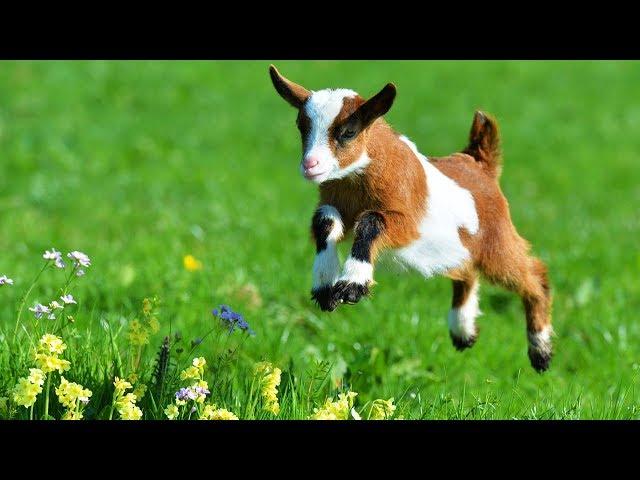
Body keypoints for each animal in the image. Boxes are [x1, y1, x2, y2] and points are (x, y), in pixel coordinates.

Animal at [268, 64, 552, 372]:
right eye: (301, 127)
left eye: (348, 132)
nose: (310, 165)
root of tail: (480, 162)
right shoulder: (334, 204)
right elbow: (325, 220)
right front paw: (324, 287)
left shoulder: (407, 223)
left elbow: (371, 221)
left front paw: (353, 285)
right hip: (460, 247)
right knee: (467, 273)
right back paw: (463, 331)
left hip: (496, 241)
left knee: (533, 274)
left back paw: (541, 350)